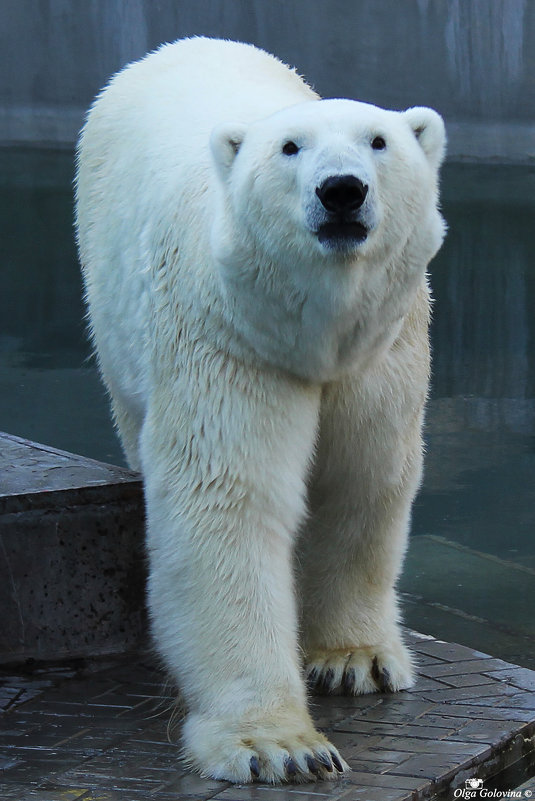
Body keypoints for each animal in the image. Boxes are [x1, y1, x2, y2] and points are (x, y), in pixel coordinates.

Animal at [74, 36, 444, 780]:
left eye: (379, 140)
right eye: (289, 148)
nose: (341, 190)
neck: (317, 331)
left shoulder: (381, 348)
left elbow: (362, 476)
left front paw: (354, 659)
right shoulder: (224, 335)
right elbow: (228, 499)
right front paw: (279, 744)